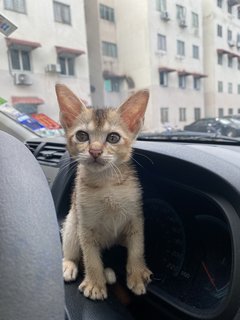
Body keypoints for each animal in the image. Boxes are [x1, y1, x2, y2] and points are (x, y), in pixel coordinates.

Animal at [55, 84, 152, 300]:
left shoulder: (136, 217)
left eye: (113, 138)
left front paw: (137, 273)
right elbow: (91, 258)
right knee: (72, 251)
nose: (95, 151)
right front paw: (95, 284)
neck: (106, 183)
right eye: (82, 136)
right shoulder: (85, 226)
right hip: (72, 222)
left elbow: (137, 248)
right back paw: (68, 264)